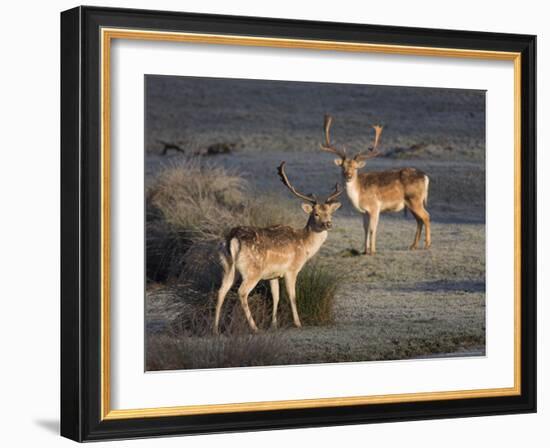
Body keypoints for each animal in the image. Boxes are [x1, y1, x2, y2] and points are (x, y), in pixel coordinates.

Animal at [213, 161, 342, 332]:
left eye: (330, 213)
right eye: (315, 214)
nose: (328, 224)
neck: (305, 247)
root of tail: (233, 239)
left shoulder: (273, 274)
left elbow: (276, 296)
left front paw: (273, 324)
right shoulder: (291, 270)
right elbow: (292, 296)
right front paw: (298, 323)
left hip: (227, 266)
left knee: (221, 291)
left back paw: (214, 329)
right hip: (253, 270)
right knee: (242, 292)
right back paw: (254, 327)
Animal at [322, 114, 434, 256]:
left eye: (355, 167)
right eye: (343, 167)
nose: (348, 176)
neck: (359, 195)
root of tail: (425, 177)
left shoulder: (375, 207)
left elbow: (372, 229)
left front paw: (373, 251)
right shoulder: (364, 212)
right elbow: (365, 229)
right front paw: (364, 250)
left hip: (415, 199)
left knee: (426, 216)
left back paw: (427, 245)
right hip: (411, 203)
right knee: (419, 220)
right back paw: (413, 246)